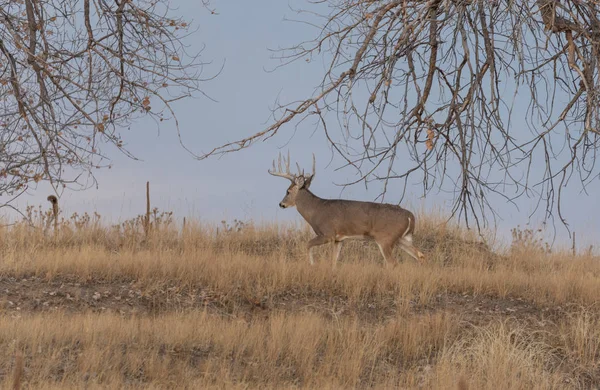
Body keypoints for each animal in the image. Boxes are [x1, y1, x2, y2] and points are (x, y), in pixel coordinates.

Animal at [268, 154, 426, 266]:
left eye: (288, 191)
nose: (281, 204)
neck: (315, 210)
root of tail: (410, 216)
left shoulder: (327, 233)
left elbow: (307, 244)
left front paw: (312, 264)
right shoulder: (339, 239)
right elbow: (333, 262)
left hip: (385, 238)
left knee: (393, 263)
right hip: (402, 238)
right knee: (420, 255)